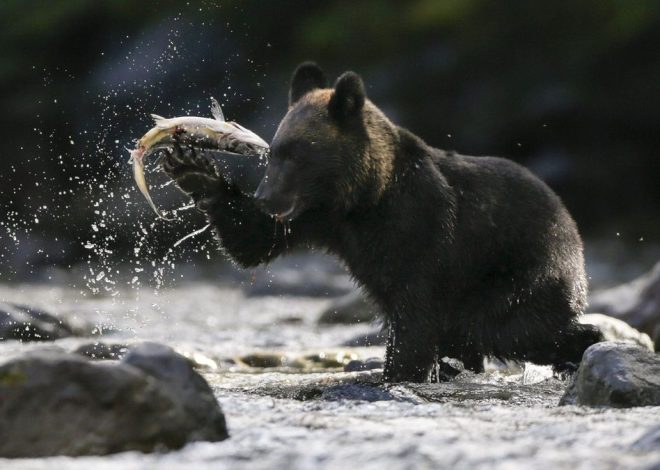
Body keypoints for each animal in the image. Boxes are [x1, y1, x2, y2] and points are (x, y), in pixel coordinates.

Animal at [162, 62, 603, 382]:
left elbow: (414, 318)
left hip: (517, 272)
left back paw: (582, 346)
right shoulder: (319, 221)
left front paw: (395, 374)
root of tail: (572, 224)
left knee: (509, 327)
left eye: (297, 153)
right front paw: (192, 166)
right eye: (273, 153)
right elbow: (253, 241)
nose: (267, 198)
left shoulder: (421, 231)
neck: (363, 199)